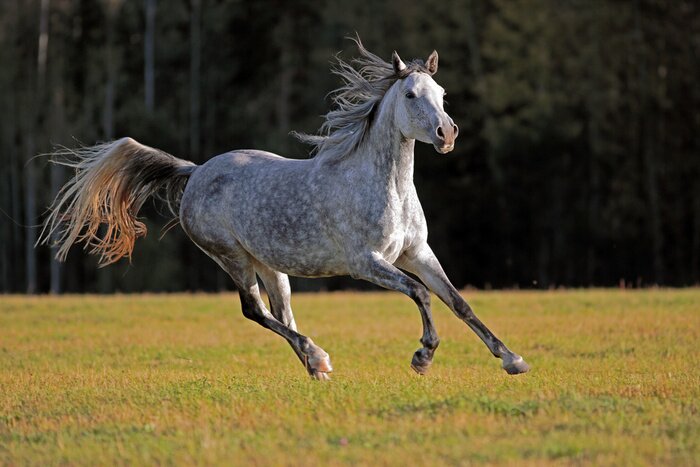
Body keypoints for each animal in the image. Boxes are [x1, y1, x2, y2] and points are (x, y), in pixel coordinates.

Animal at [40, 39, 530, 380]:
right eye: (410, 95)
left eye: (441, 92)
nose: (447, 134)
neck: (382, 185)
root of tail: (195, 171)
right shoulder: (366, 263)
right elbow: (421, 294)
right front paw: (422, 357)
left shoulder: (417, 253)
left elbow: (457, 301)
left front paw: (512, 359)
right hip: (232, 257)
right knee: (255, 311)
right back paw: (318, 357)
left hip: (271, 265)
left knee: (281, 313)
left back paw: (317, 366)